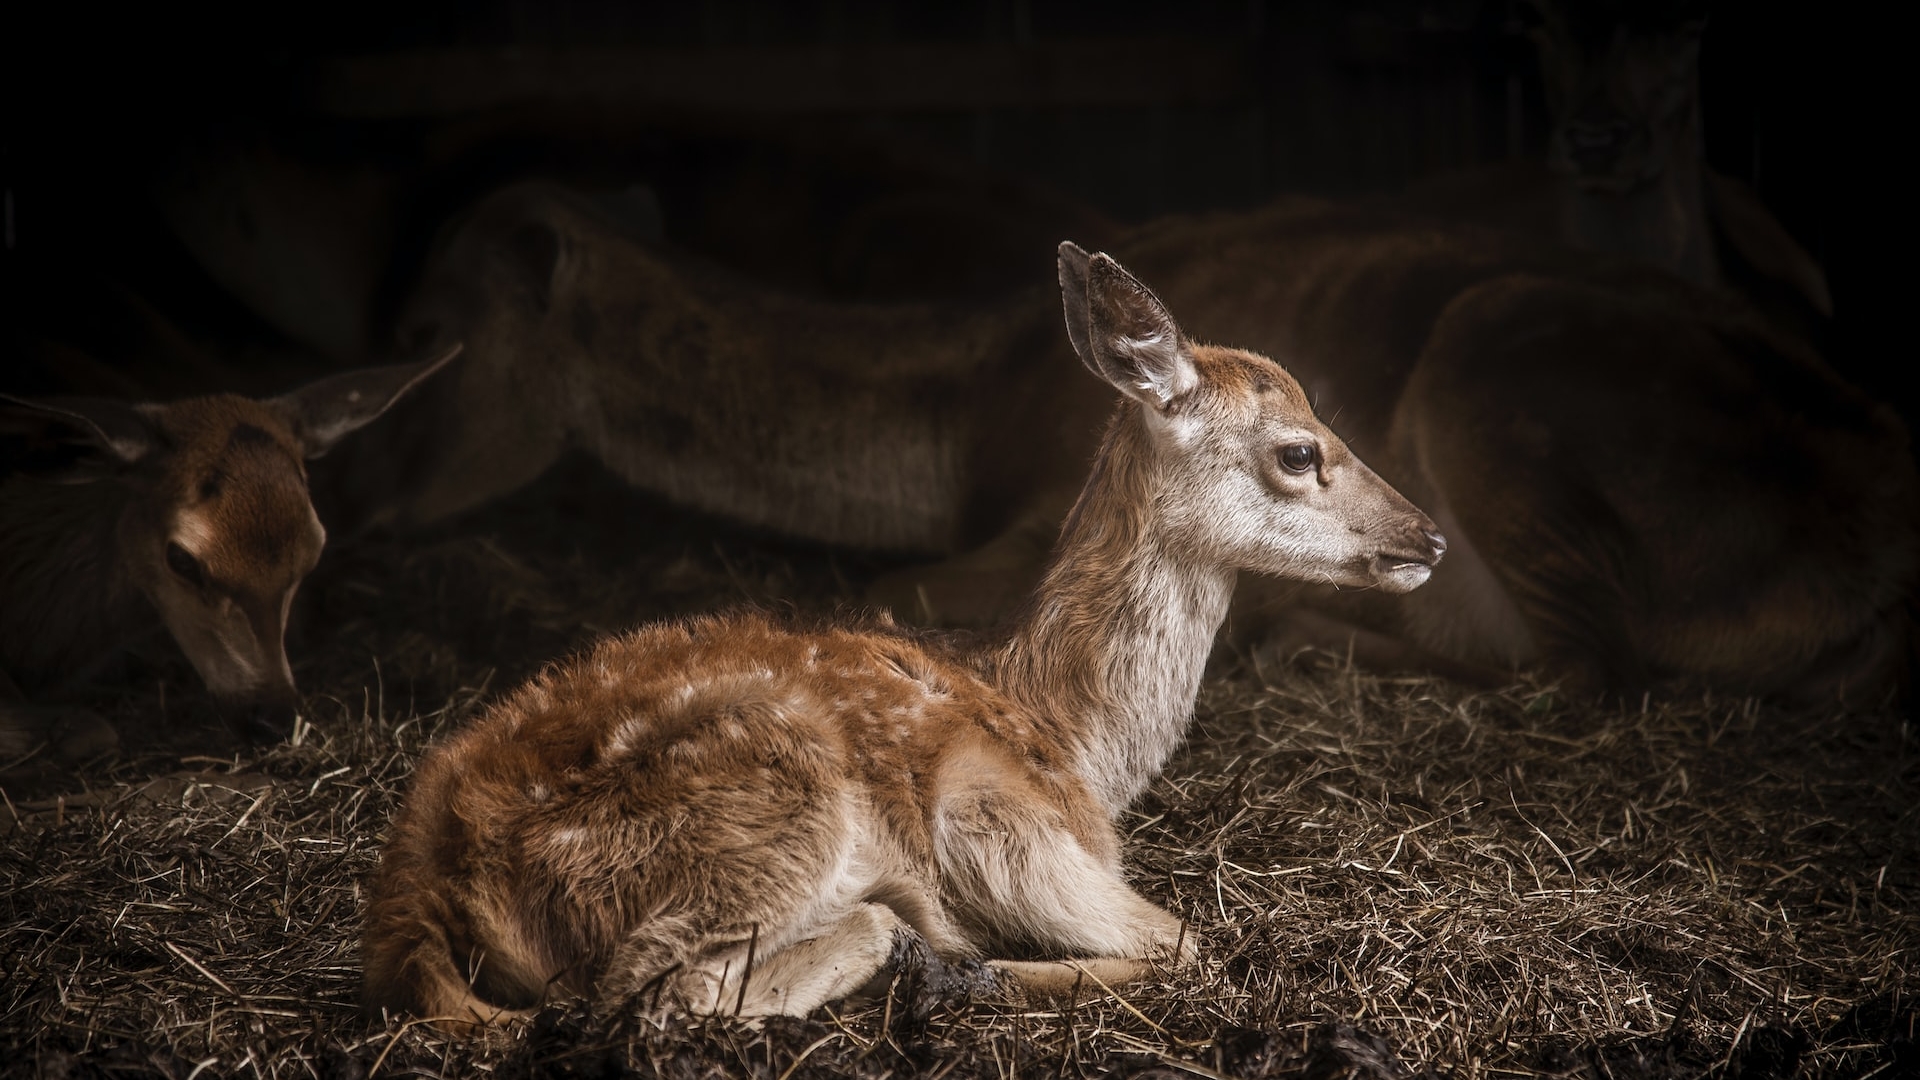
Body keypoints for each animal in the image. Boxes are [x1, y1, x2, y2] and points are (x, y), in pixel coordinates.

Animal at [360, 242, 1443, 1022]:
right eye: (1299, 451)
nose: (1426, 535)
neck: (1072, 741)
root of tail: (421, 882)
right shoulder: (998, 818)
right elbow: (1186, 943)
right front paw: (971, 969)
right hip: (772, 813)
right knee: (658, 993)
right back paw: (918, 953)